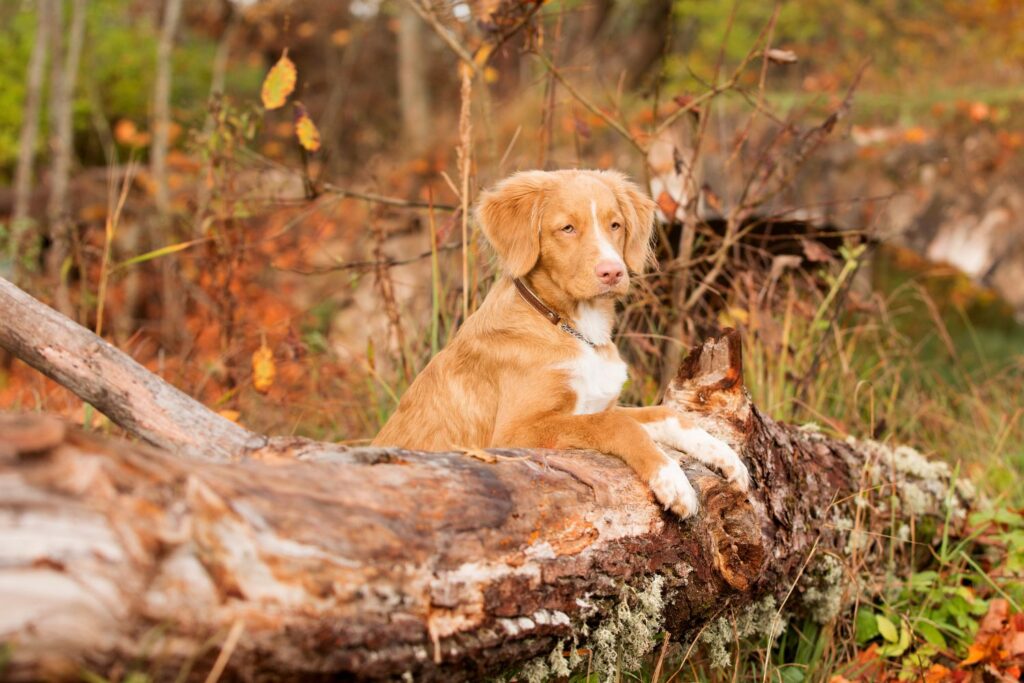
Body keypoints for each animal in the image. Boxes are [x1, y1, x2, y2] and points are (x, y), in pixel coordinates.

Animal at [372, 169, 749, 518]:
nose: (613, 272)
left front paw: (723, 454)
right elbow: (616, 424)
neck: (571, 328)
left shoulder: (599, 403)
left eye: (615, 225)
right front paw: (671, 479)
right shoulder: (513, 433)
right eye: (567, 228)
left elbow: (664, 413)